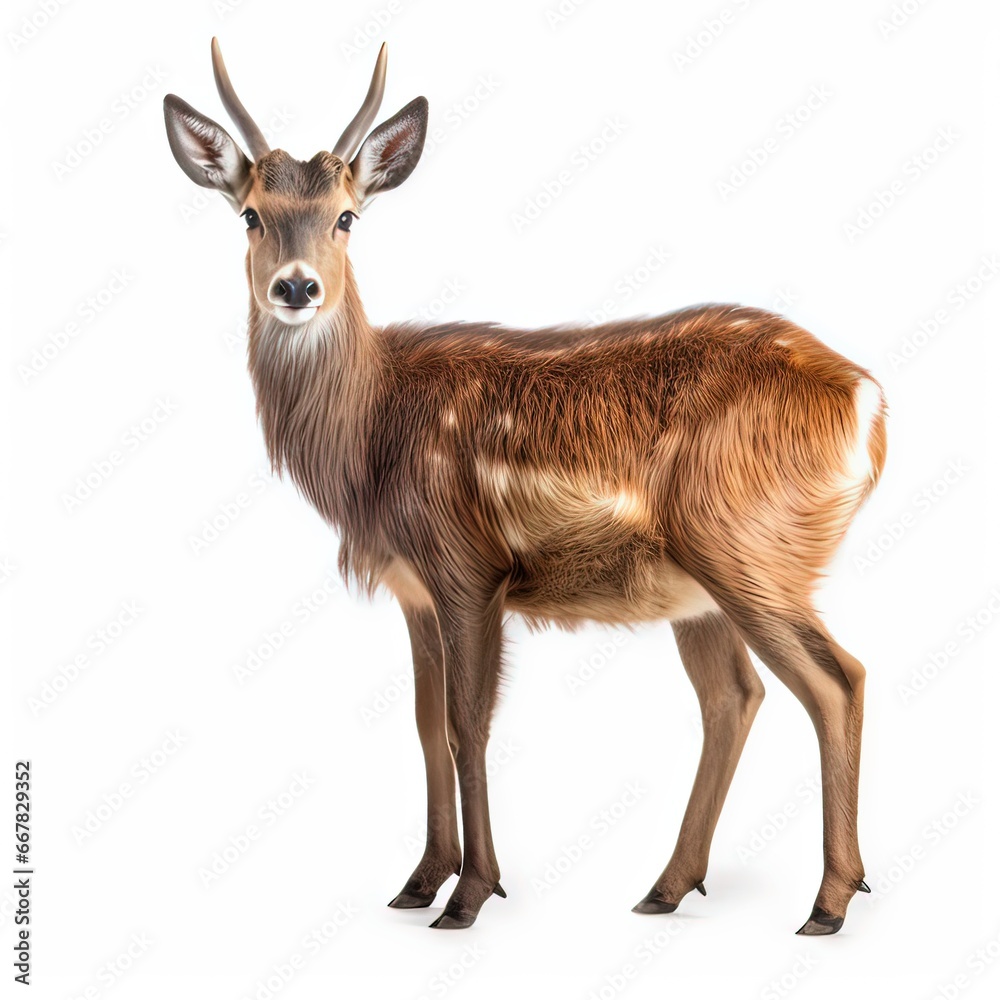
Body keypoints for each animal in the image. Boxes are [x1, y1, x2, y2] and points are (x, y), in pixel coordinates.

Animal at [163, 39, 886, 934]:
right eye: (251, 213)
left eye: (346, 215)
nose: (296, 287)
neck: (369, 439)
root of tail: (866, 402)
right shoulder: (414, 587)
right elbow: (423, 725)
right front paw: (417, 881)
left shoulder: (468, 564)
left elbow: (467, 725)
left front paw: (470, 894)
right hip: (701, 582)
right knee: (734, 697)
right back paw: (665, 886)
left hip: (749, 544)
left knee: (837, 680)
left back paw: (828, 900)